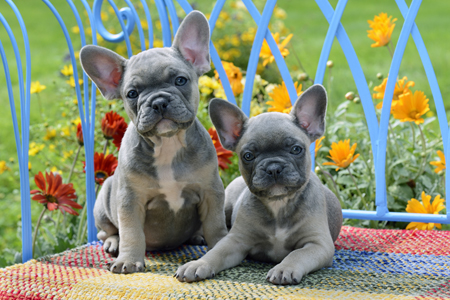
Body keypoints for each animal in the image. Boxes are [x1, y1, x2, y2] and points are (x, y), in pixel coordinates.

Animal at [78, 11, 229, 274]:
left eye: (180, 80)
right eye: (132, 94)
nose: (158, 101)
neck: (168, 144)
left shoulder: (211, 191)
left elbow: (215, 224)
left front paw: (219, 244)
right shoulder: (130, 200)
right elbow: (131, 233)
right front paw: (128, 260)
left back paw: (197, 236)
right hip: (105, 195)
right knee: (107, 231)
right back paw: (113, 244)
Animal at [175, 84, 342, 284]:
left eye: (296, 149)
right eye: (248, 156)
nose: (274, 167)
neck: (278, 204)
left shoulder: (317, 244)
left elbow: (297, 254)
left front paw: (284, 268)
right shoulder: (235, 241)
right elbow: (216, 252)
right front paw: (198, 264)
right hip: (226, 205)